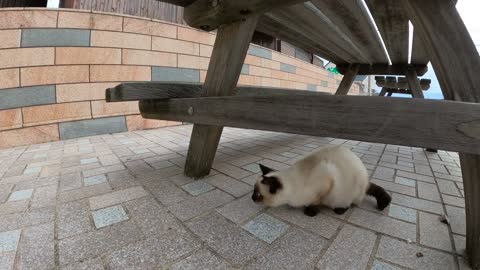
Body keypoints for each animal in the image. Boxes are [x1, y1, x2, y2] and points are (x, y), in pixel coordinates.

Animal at [251, 144, 390, 216]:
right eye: (254, 192)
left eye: (257, 194)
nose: (252, 198)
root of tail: (367, 181)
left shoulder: (326, 181)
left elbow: (315, 202)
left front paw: (310, 211)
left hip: (348, 193)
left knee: (349, 204)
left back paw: (340, 209)